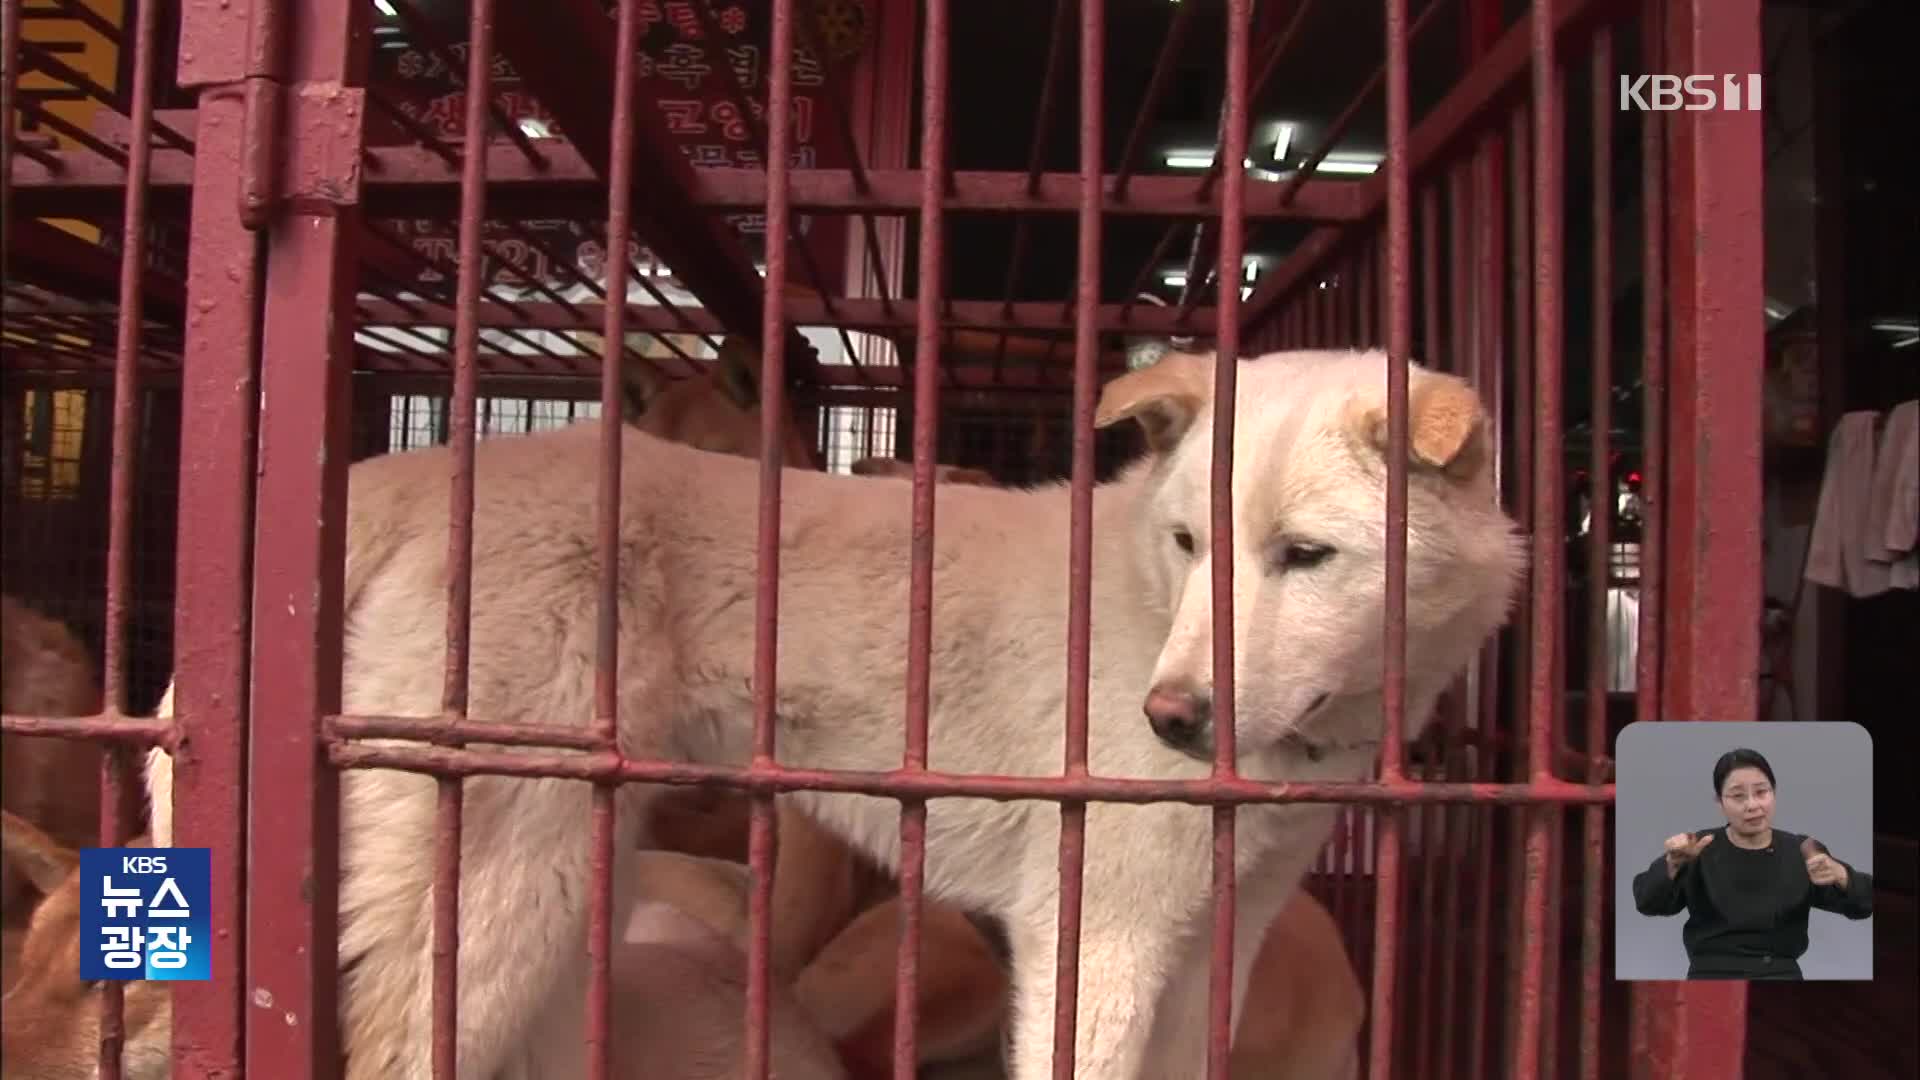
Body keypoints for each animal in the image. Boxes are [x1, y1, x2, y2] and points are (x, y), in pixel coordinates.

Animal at [142, 349, 1520, 1068]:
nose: (1168, 717)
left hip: (566, 891)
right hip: (498, 898)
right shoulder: (1100, 941)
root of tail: (416, 469)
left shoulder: (1205, 950)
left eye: (1305, 558)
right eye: (1192, 545)